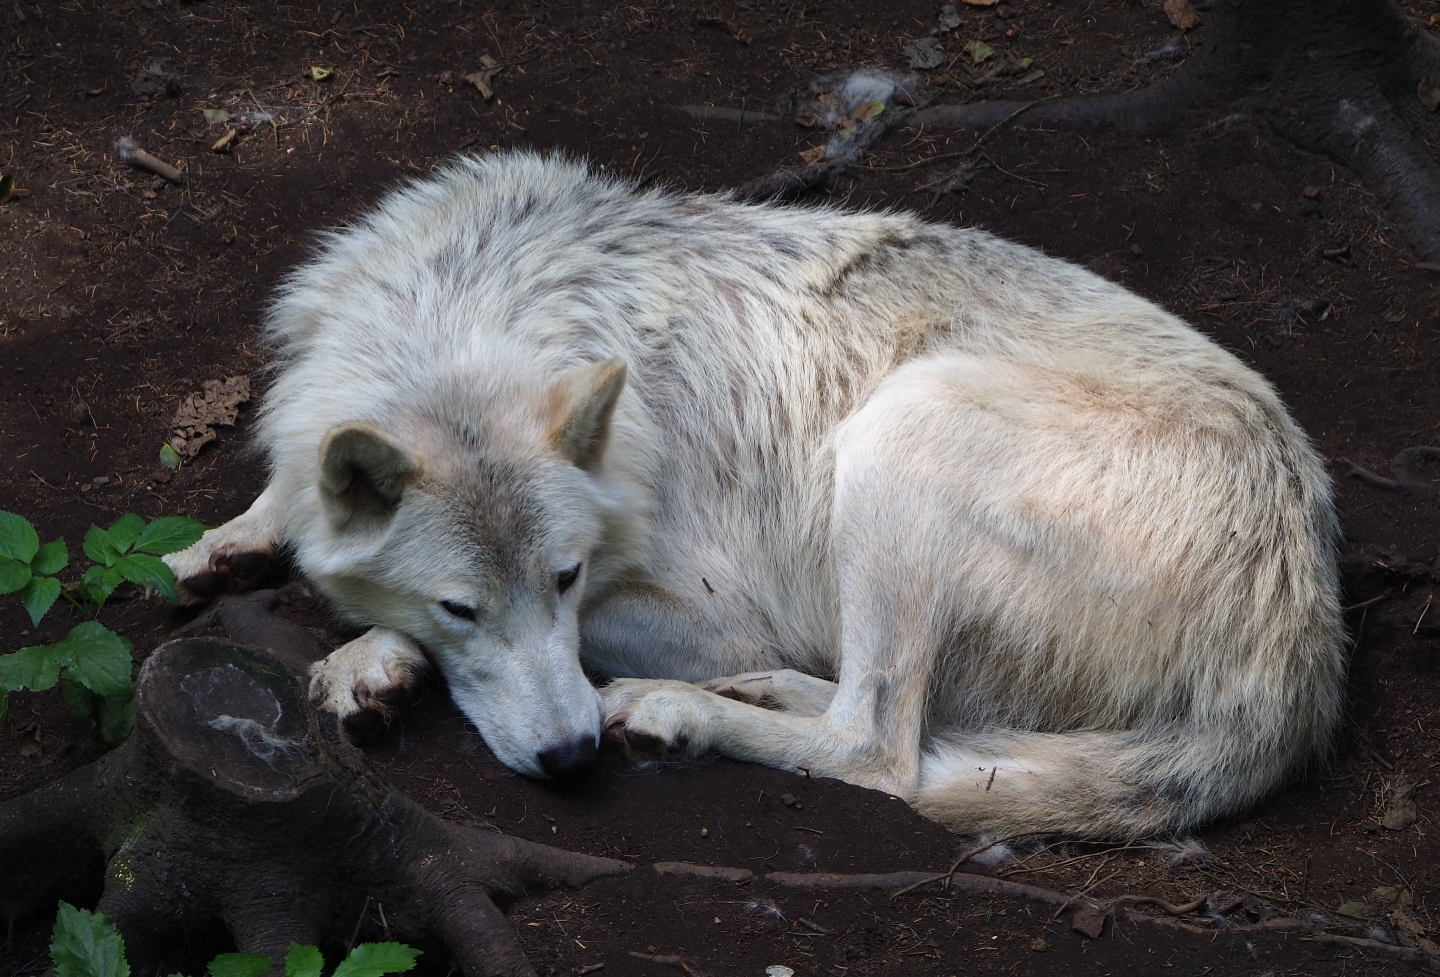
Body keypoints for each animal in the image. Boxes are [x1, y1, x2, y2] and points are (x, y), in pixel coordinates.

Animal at [165, 151, 1344, 840]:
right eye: (463, 602)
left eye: (566, 575)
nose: (570, 757)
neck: (475, 303)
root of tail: (1304, 646)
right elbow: (288, 497)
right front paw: (228, 544)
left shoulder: (710, 606)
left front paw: (367, 654)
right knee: (871, 708)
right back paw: (754, 692)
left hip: (903, 429)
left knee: (882, 746)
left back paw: (678, 709)